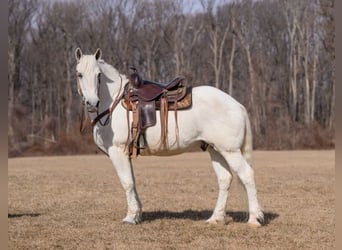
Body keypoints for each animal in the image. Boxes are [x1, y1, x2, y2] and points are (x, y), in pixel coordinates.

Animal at [73, 47, 264, 227]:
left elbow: (127, 182)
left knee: (247, 175)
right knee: (225, 179)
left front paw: (130, 217)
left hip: (230, 151)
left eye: (98, 75)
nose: (92, 103)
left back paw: (254, 219)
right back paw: (215, 218)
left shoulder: (118, 151)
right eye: (79, 74)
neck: (114, 101)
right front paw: (137, 215)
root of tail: (237, 105)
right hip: (215, 149)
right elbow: (132, 181)